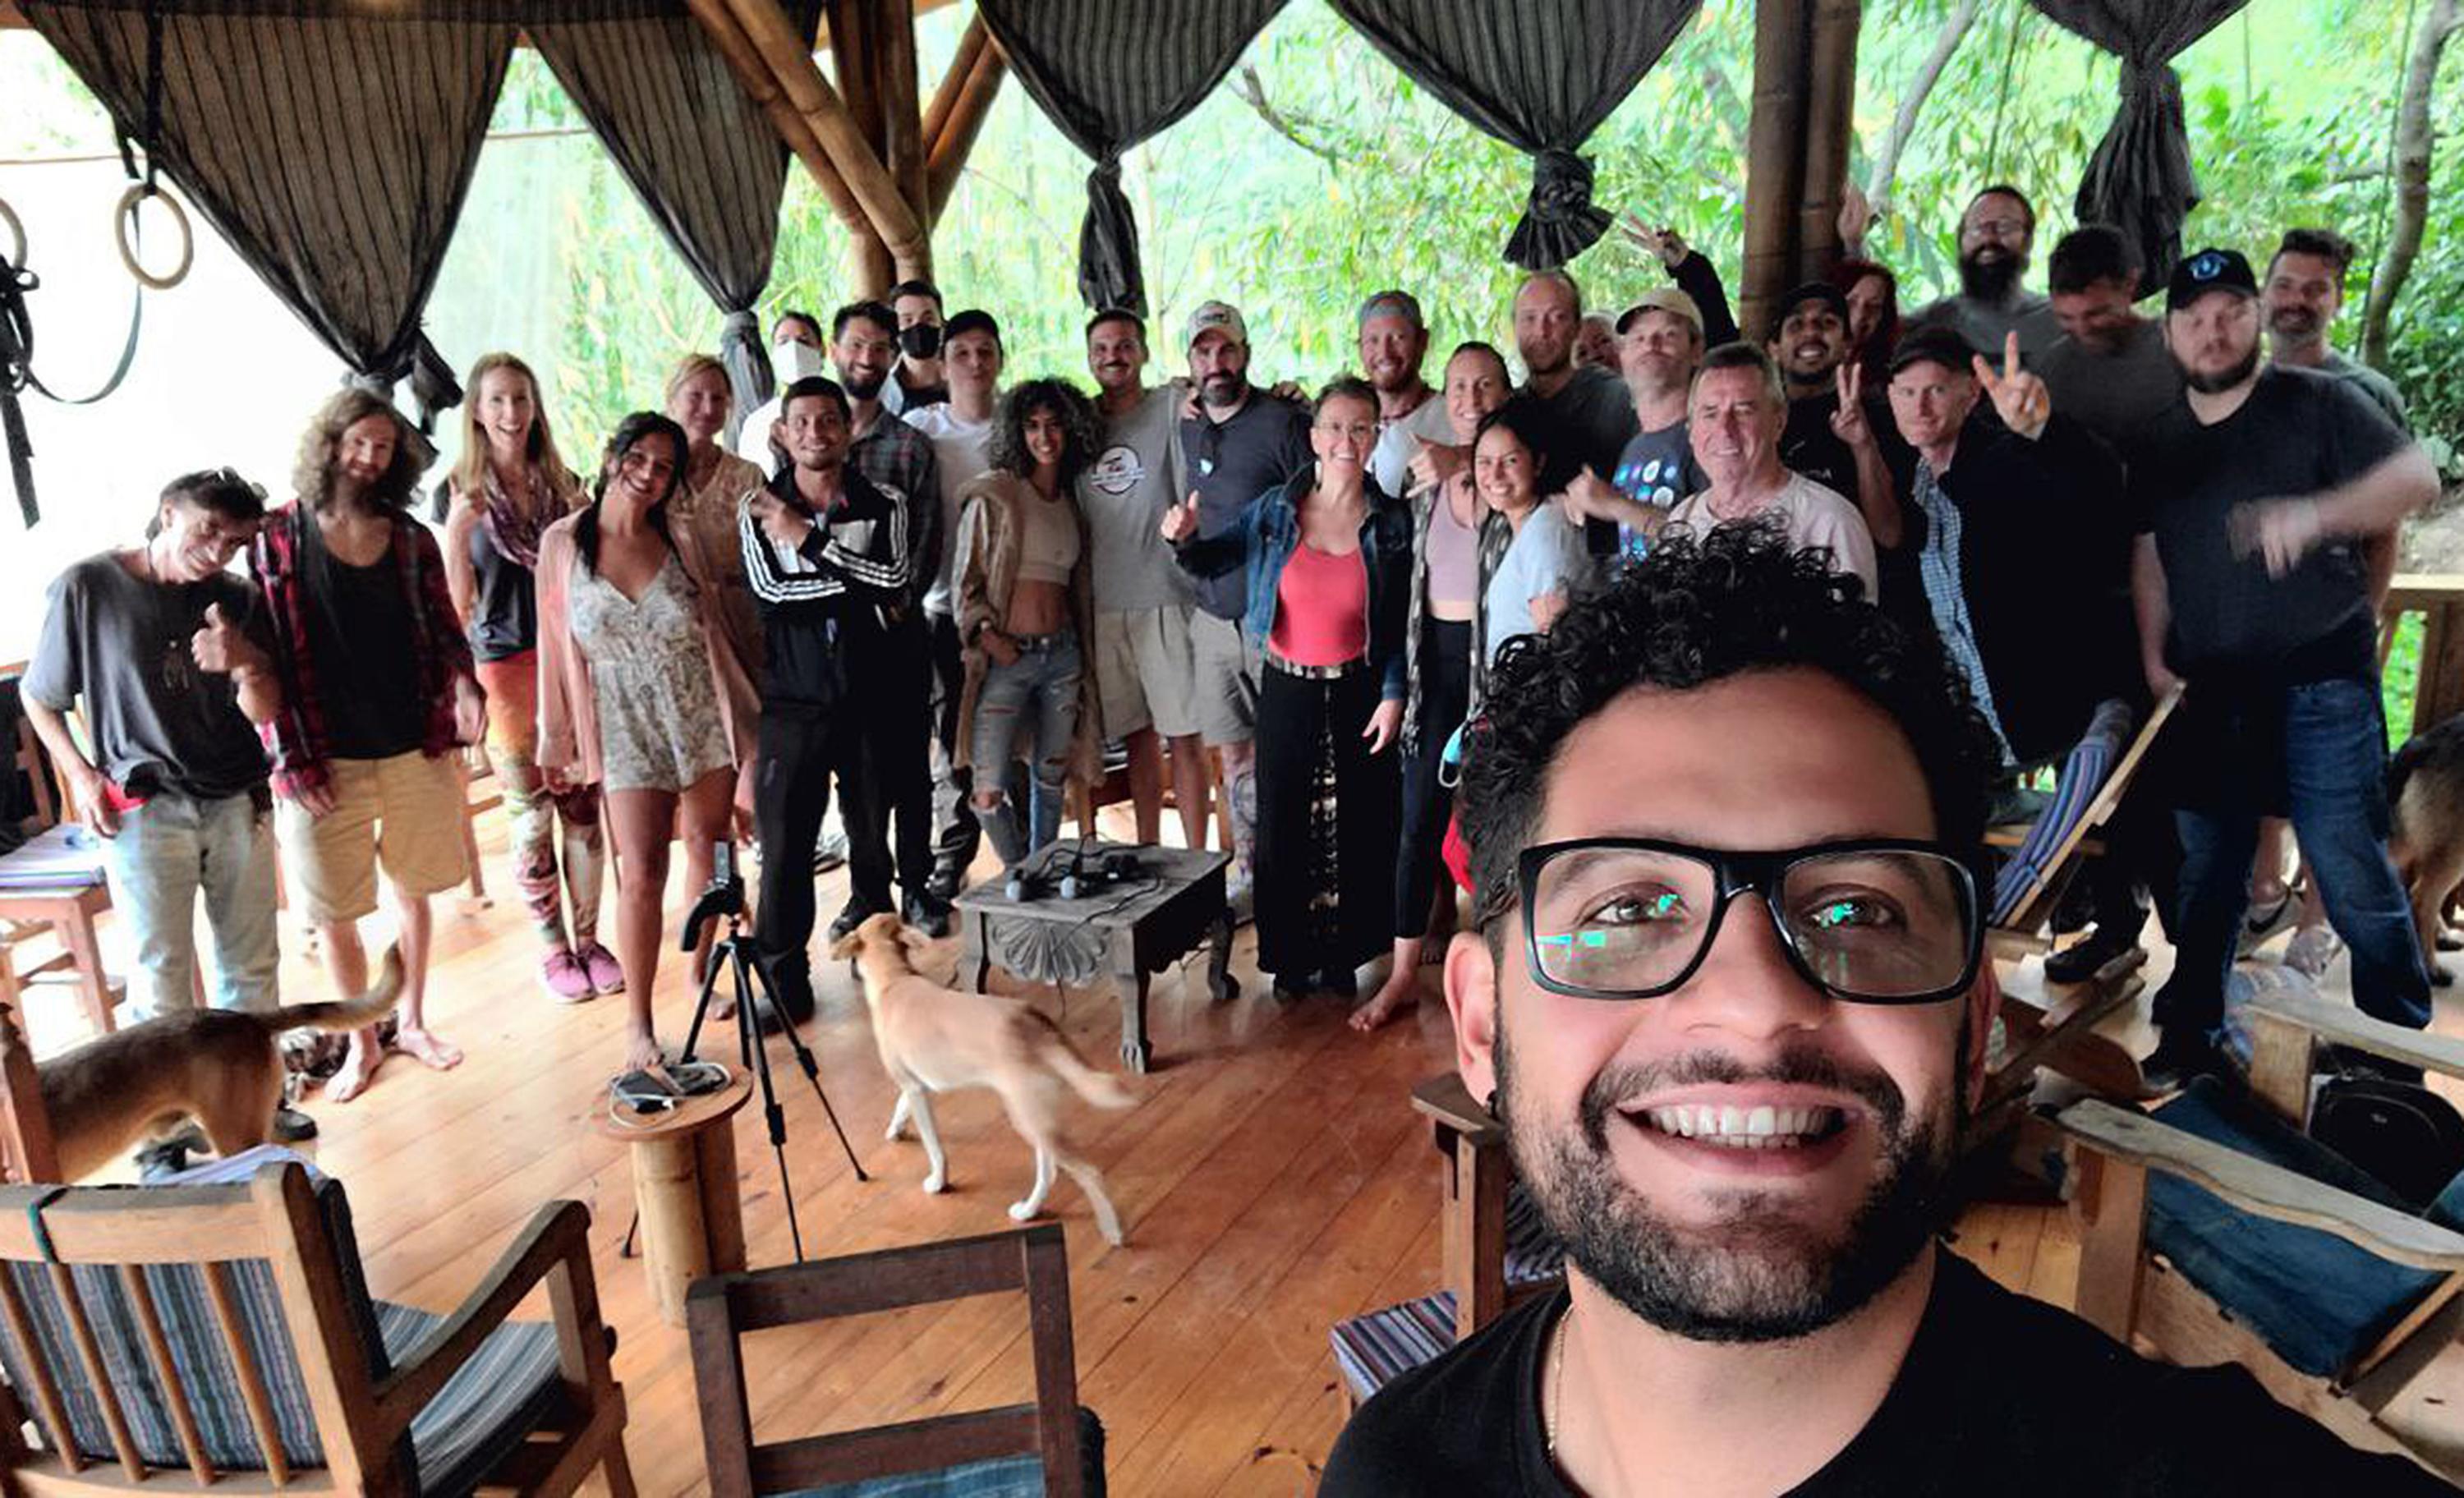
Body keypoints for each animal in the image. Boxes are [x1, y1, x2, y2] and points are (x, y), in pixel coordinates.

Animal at [828, 912, 1133, 1242]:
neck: (895, 979)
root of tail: (1031, 1024)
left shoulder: (914, 1088)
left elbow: (934, 1147)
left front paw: (938, 1181)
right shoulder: (917, 1084)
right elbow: (900, 1105)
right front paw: (895, 1129)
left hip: (1027, 1113)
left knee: (1087, 1172)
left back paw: (1112, 1230)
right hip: (1037, 1116)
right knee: (1049, 1170)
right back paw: (1029, 1211)